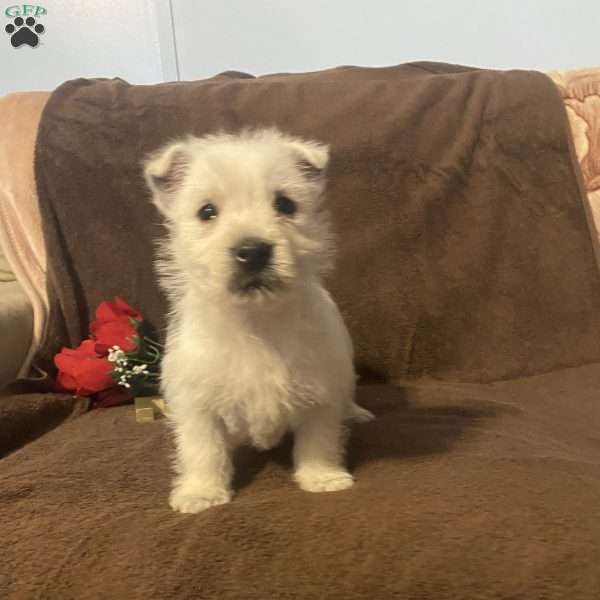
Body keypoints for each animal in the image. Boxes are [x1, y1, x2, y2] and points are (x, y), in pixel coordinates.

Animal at [144, 129, 372, 512]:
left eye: (285, 205)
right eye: (206, 211)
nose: (252, 251)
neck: (256, 319)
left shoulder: (321, 390)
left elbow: (319, 440)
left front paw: (322, 478)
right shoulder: (197, 403)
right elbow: (203, 449)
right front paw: (201, 492)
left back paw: (356, 413)